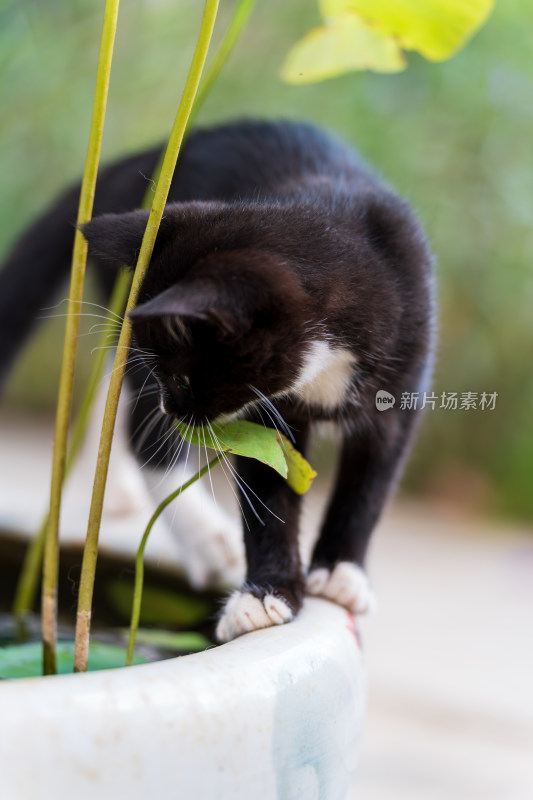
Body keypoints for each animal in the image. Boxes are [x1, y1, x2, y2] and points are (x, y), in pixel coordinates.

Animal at [0, 119, 432, 640]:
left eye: (185, 379)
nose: (171, 407)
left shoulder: (404, 378)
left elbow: (371, 479)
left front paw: (340, 573)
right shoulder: (263, 412)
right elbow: (269, 486)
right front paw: (265, 596)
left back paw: (118, 487)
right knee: (139, 431)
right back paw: (206, 536)